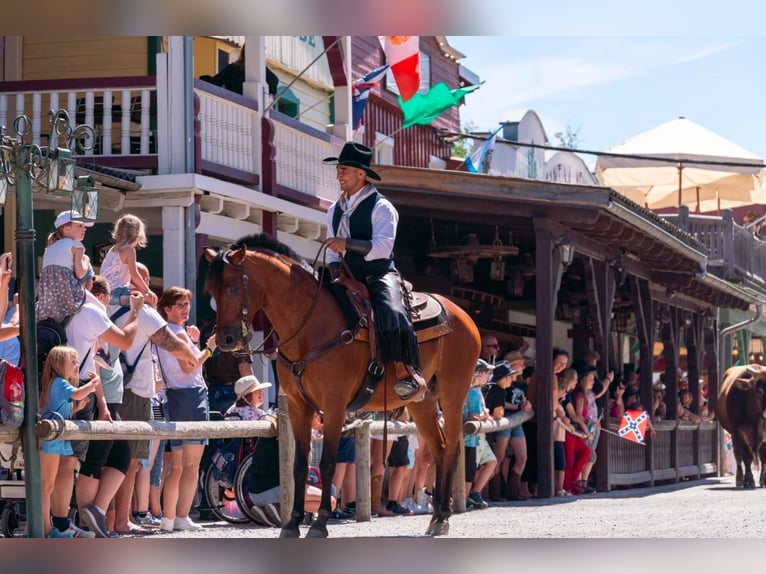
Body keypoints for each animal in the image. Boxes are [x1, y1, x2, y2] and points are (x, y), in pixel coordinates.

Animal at [204, 235, 480, 540]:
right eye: (210, 290)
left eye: (231, 287)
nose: (225, 340)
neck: (309, 325)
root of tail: (462, 315)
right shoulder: (299, 407)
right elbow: (299, 465)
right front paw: (292, 523)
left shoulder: (334, 405)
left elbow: (327, 463)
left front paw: (320, 522)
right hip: (422, 402)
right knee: (440, 449)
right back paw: (437, 515)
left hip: (453, 393)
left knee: (452, 448)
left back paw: (443, 517)